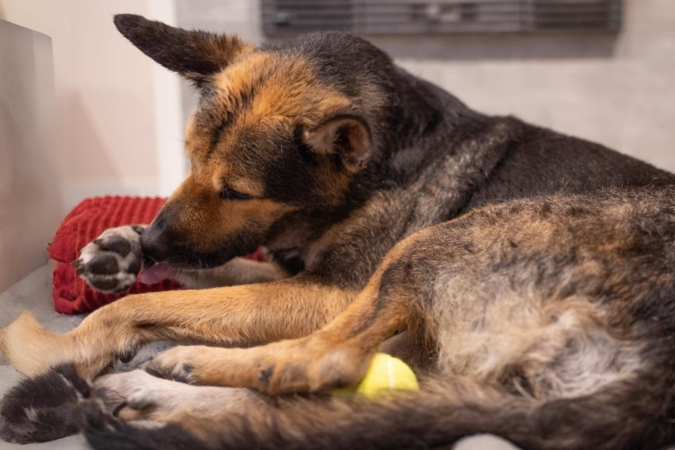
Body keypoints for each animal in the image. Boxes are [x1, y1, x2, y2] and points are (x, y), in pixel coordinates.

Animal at [1, 14, 675, 450]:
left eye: (238, 191)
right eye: (190, 160)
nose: (158, 243)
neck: (382, 162)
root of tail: (658, 369)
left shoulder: (332, 293)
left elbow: (152, 306)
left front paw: (80, 336)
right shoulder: (290, 271)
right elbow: (216, 272)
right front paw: (122, 245)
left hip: (430, 247)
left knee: (327, 364)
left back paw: (177, 367)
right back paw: (141, 393)